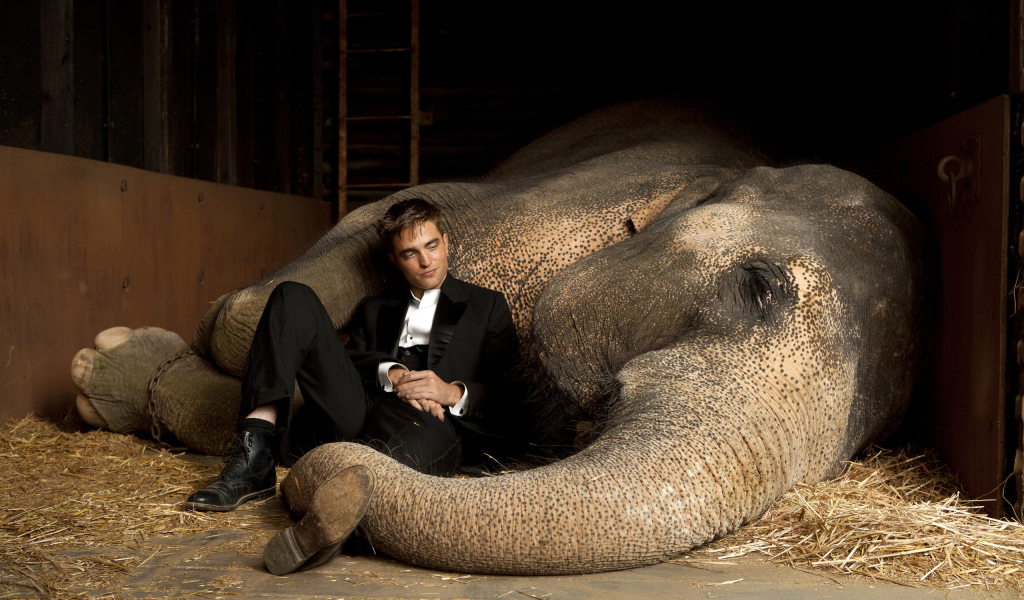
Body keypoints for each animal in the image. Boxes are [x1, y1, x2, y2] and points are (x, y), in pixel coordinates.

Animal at [70, 99, 926, 575]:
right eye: (757, 285)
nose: (319, 498)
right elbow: (308, 273)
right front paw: (117, 357)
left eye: (858, 450)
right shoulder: (537, 204)